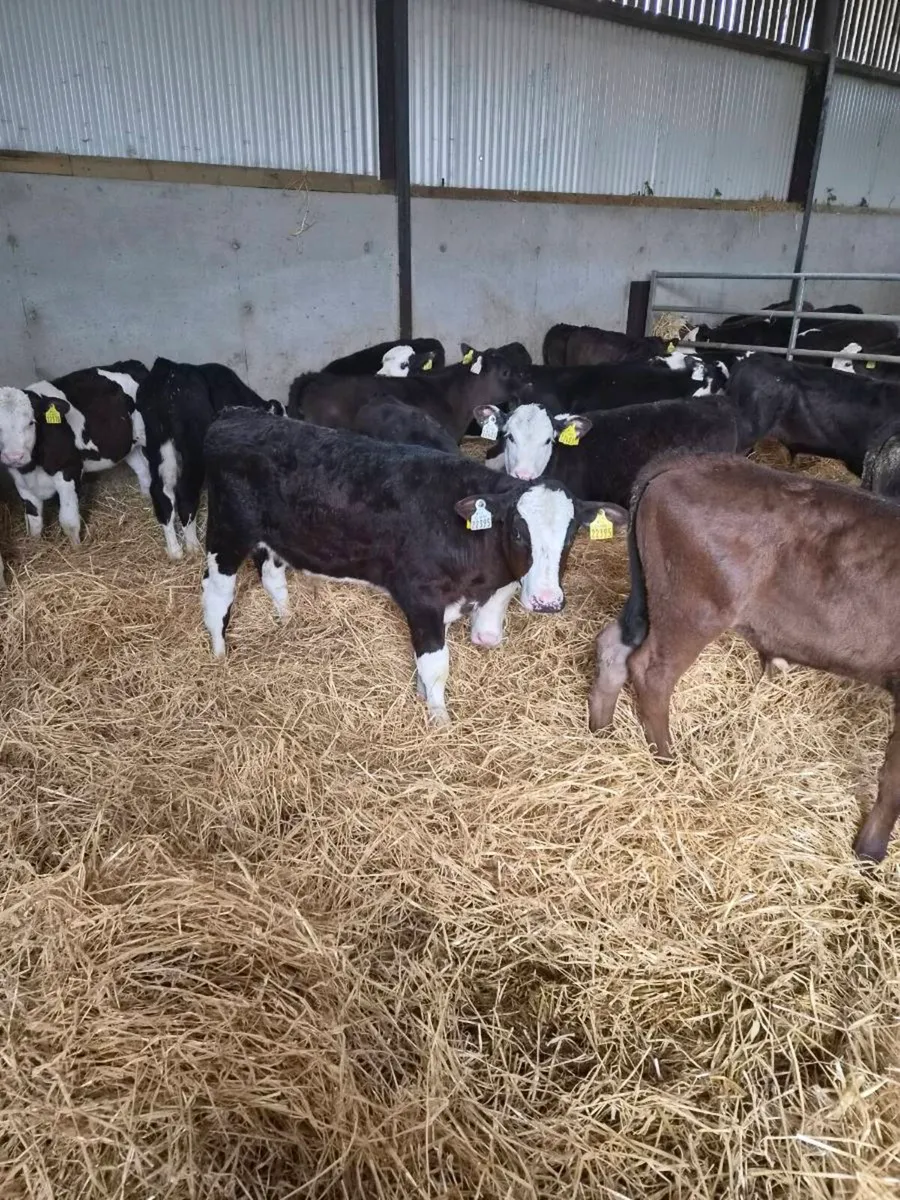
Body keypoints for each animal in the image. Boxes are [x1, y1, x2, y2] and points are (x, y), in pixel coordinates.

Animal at [0, 360, 149, 546]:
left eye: (31, 422)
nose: (14, 456)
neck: (32, 468)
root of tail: (132, 363)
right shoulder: (21, 484)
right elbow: (34, 522)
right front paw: (35, 544)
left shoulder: (69, 471)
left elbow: (69, 521)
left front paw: (77, 548)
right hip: (127, 445)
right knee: (143, 471)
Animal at [136, 358, 284, 559]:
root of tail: (169, 370)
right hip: (194, 448)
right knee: (185, 492)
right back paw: (192, 545)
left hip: (157, 444)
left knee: (162, 492)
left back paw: (175, 551)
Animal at [201, 411, 624, 724]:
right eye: (520, 532)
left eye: (571, 534)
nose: (547, 601)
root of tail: (235, 415)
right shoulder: (421, 598)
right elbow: (436, 665)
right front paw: (439, 721)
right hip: (226, 530)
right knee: (217, 594)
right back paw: (219, 656)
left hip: (273, 539)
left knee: (272, 576)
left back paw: (286, 620)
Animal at [587, 452, 900, 863]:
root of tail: (686, 463)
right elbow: (894, 779)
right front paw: (870, 850)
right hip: (693, 610)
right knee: (651, 673)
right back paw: (668, 760)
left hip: (650, 599)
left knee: (613, 646)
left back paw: (602, 731)